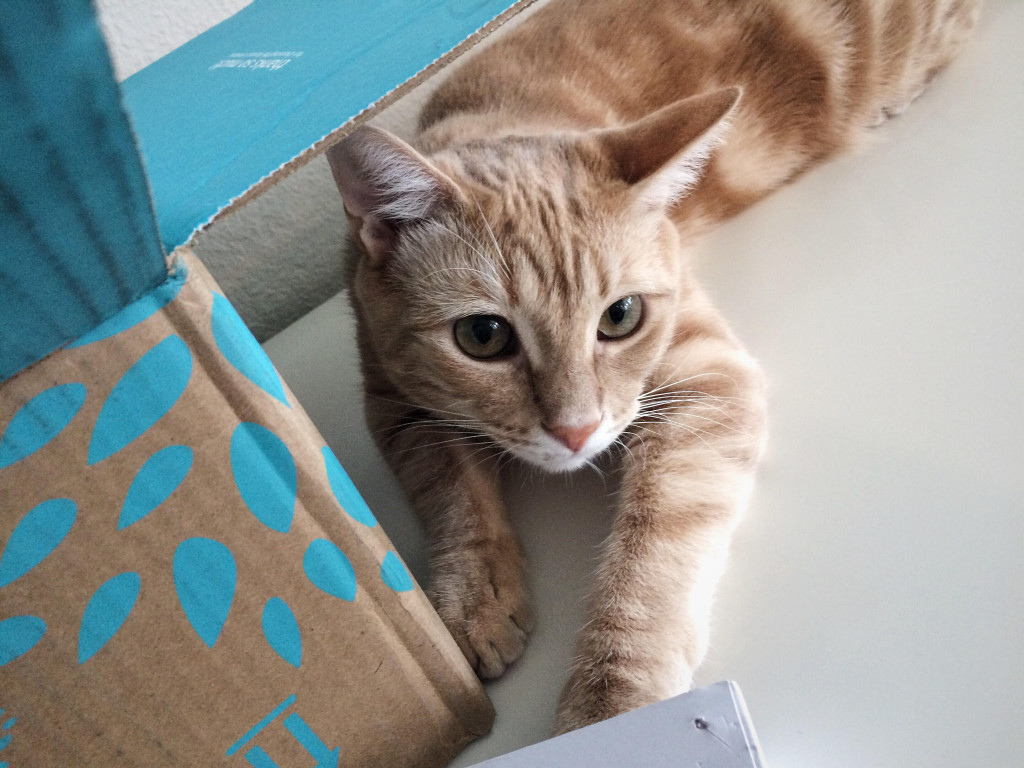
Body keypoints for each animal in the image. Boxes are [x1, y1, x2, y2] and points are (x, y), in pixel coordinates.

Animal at [325, 0, 974, 733]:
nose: (576, 432)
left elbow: (649, 563)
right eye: (483, 336)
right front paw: (475, 600)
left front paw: (614, 710)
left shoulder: (707, 378)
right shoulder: (395, 402)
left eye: (621, 316)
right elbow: (455, 497)